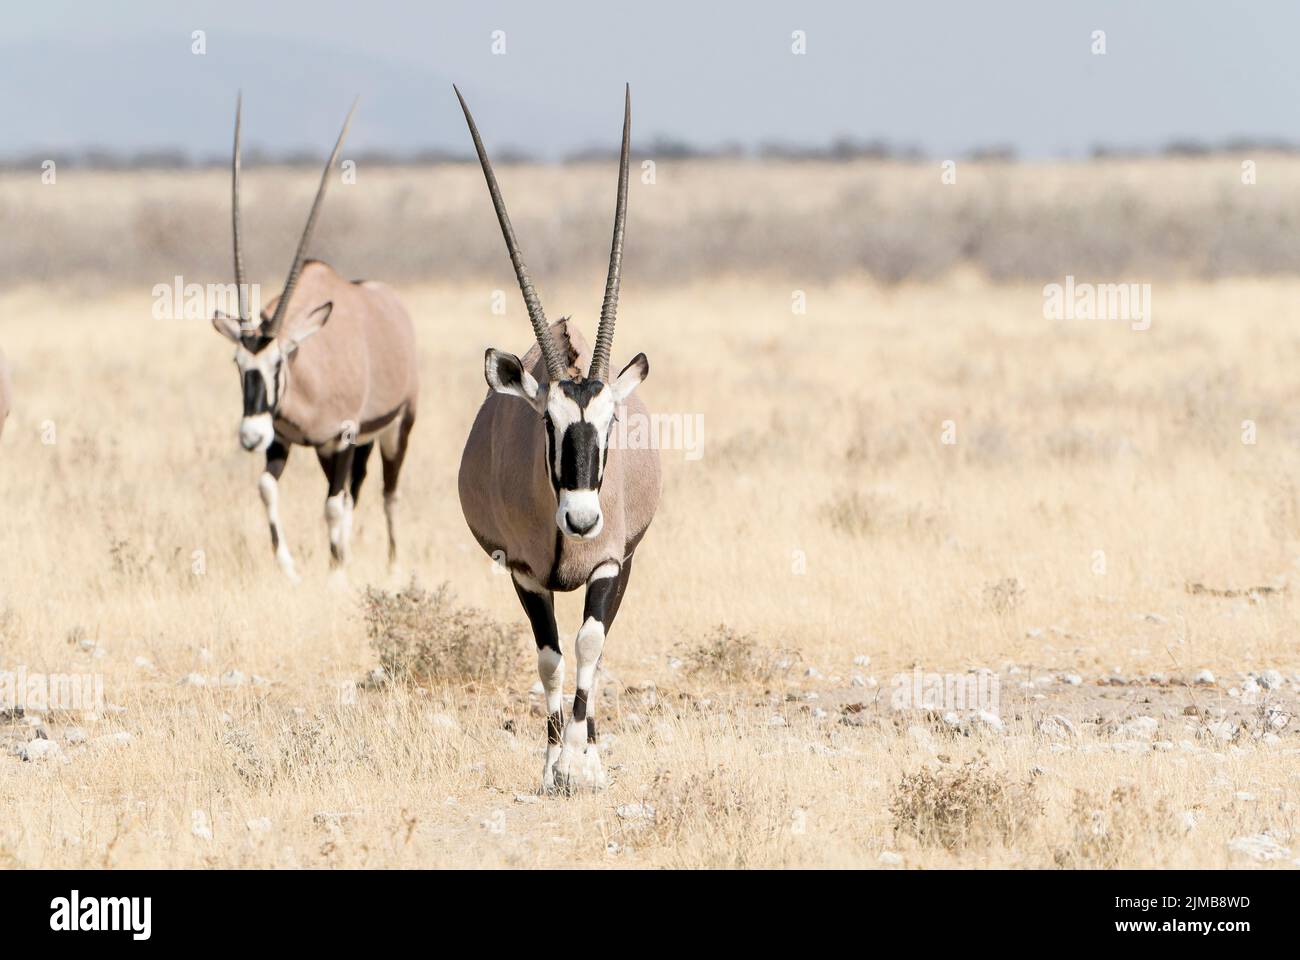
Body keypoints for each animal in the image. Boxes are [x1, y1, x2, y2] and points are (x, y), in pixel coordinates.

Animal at [211, 97, 419, 581]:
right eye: (238, 365)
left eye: (279, 363)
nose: (249, 436)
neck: (308, 369)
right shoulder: (285, 439)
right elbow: (268, 488)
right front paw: (289, 566)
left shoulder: (341, 437)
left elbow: (332, 506)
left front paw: (337, 574)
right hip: (347, 446)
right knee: (354, 491)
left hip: (394, 428)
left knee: (386, 494)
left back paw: (392, 565)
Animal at [455, 85, 661, 793]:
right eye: (548, 422)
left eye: (610, 423)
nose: (580, 519)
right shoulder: (524, 574)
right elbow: (549, 657)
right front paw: (552, 766)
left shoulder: (610, 566)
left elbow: (589, 646)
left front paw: (584, 763)